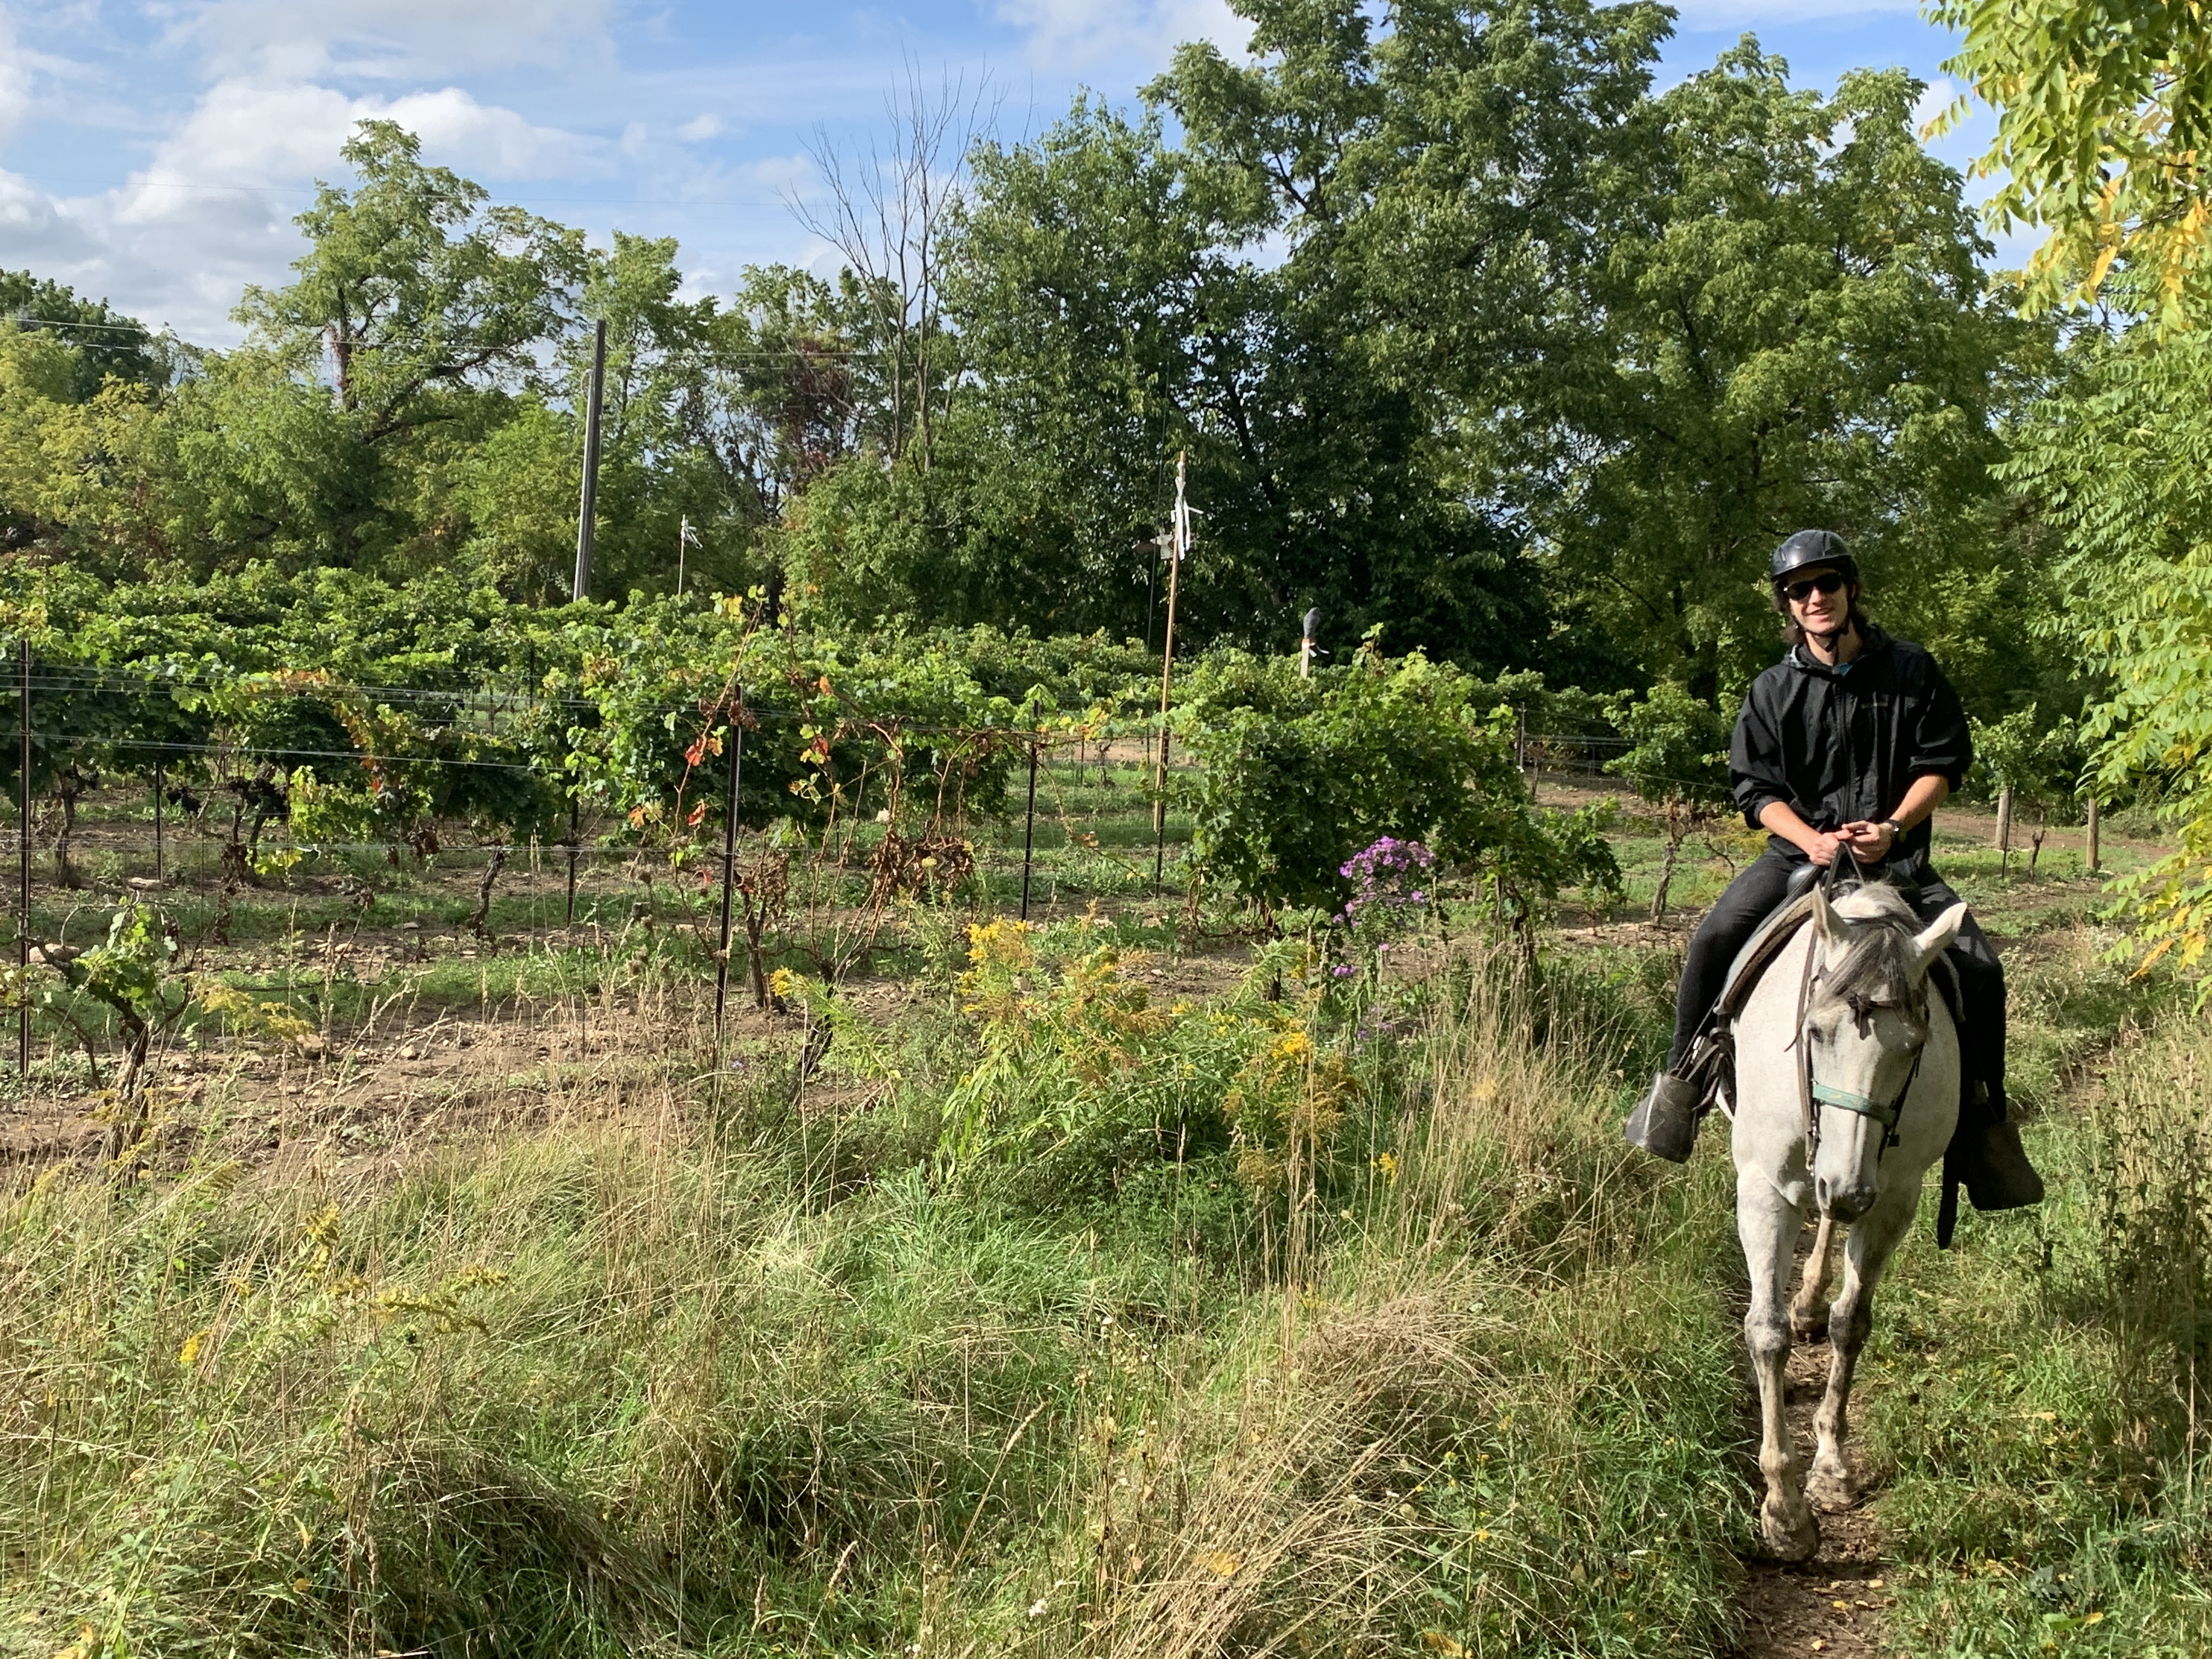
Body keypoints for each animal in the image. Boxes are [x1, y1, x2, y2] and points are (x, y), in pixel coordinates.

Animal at [1725, 884, 1955, 1557]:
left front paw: (1830, 1466)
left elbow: (1851, 1324)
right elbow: (1765, 1332)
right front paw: (1784, 1511)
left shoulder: (1894, 1197)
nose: (1850, 1189)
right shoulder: (1763, 1190)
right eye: (1815, 1031)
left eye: (1914, 1046)